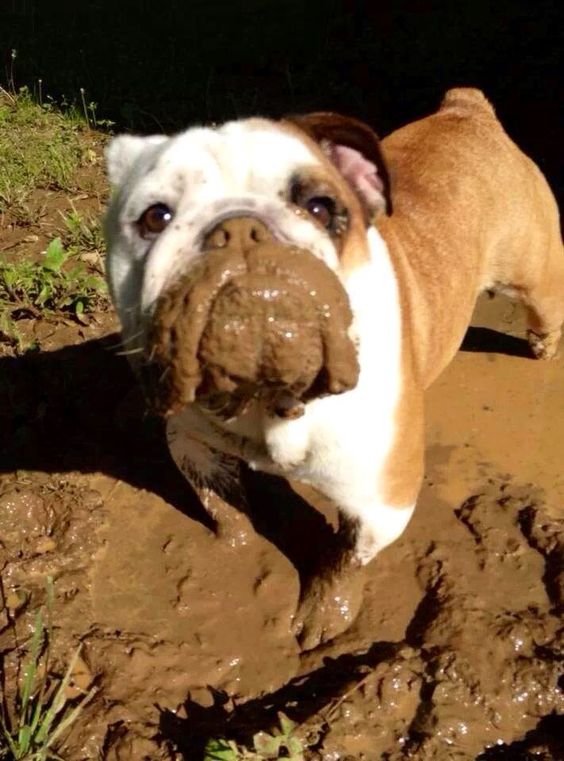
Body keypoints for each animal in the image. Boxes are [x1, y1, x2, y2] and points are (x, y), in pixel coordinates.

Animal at [104, 89, 564, 648]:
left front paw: (324, 615)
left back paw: (544, 349)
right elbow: (222, 505)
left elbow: (344, 559)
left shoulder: (379, 503)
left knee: (545, 315)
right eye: (155, 217)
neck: (266, 402)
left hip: (536, 279)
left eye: (320, 207)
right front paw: (235, 550)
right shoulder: (191, 443)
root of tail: (467, 109)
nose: (238, 229)